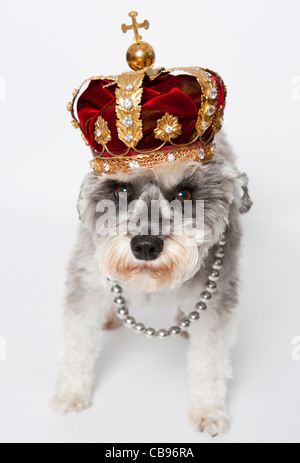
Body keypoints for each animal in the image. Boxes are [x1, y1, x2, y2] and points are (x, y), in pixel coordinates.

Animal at [51, 131, 253, 438]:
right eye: (121, 190)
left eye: (184, 194)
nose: (145, 245)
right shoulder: (86, 284)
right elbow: (77, 343)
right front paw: (71, 393)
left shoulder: (217, 303)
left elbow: (210, 362)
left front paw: (209, 410)